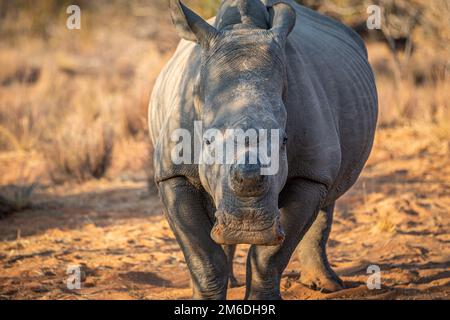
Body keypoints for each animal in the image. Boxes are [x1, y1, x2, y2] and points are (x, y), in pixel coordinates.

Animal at [149, 0, 378, 300]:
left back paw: (327, 286)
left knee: (327, 199)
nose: (248, 227)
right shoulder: (173, 173)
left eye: (284, 141)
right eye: (207, 142)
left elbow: (270, 256)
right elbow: (204, 257)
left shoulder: (310, 174)